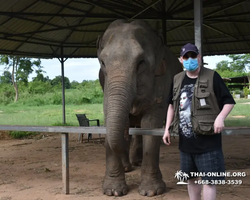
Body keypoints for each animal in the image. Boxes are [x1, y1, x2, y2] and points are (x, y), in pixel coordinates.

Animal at [97, 19, 182, 196]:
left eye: (141, 62)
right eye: (102, 63)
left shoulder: (162, 80)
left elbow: (150, 125)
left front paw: (151, 192)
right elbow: (111, 116)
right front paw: (113, 191)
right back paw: (129, 167)